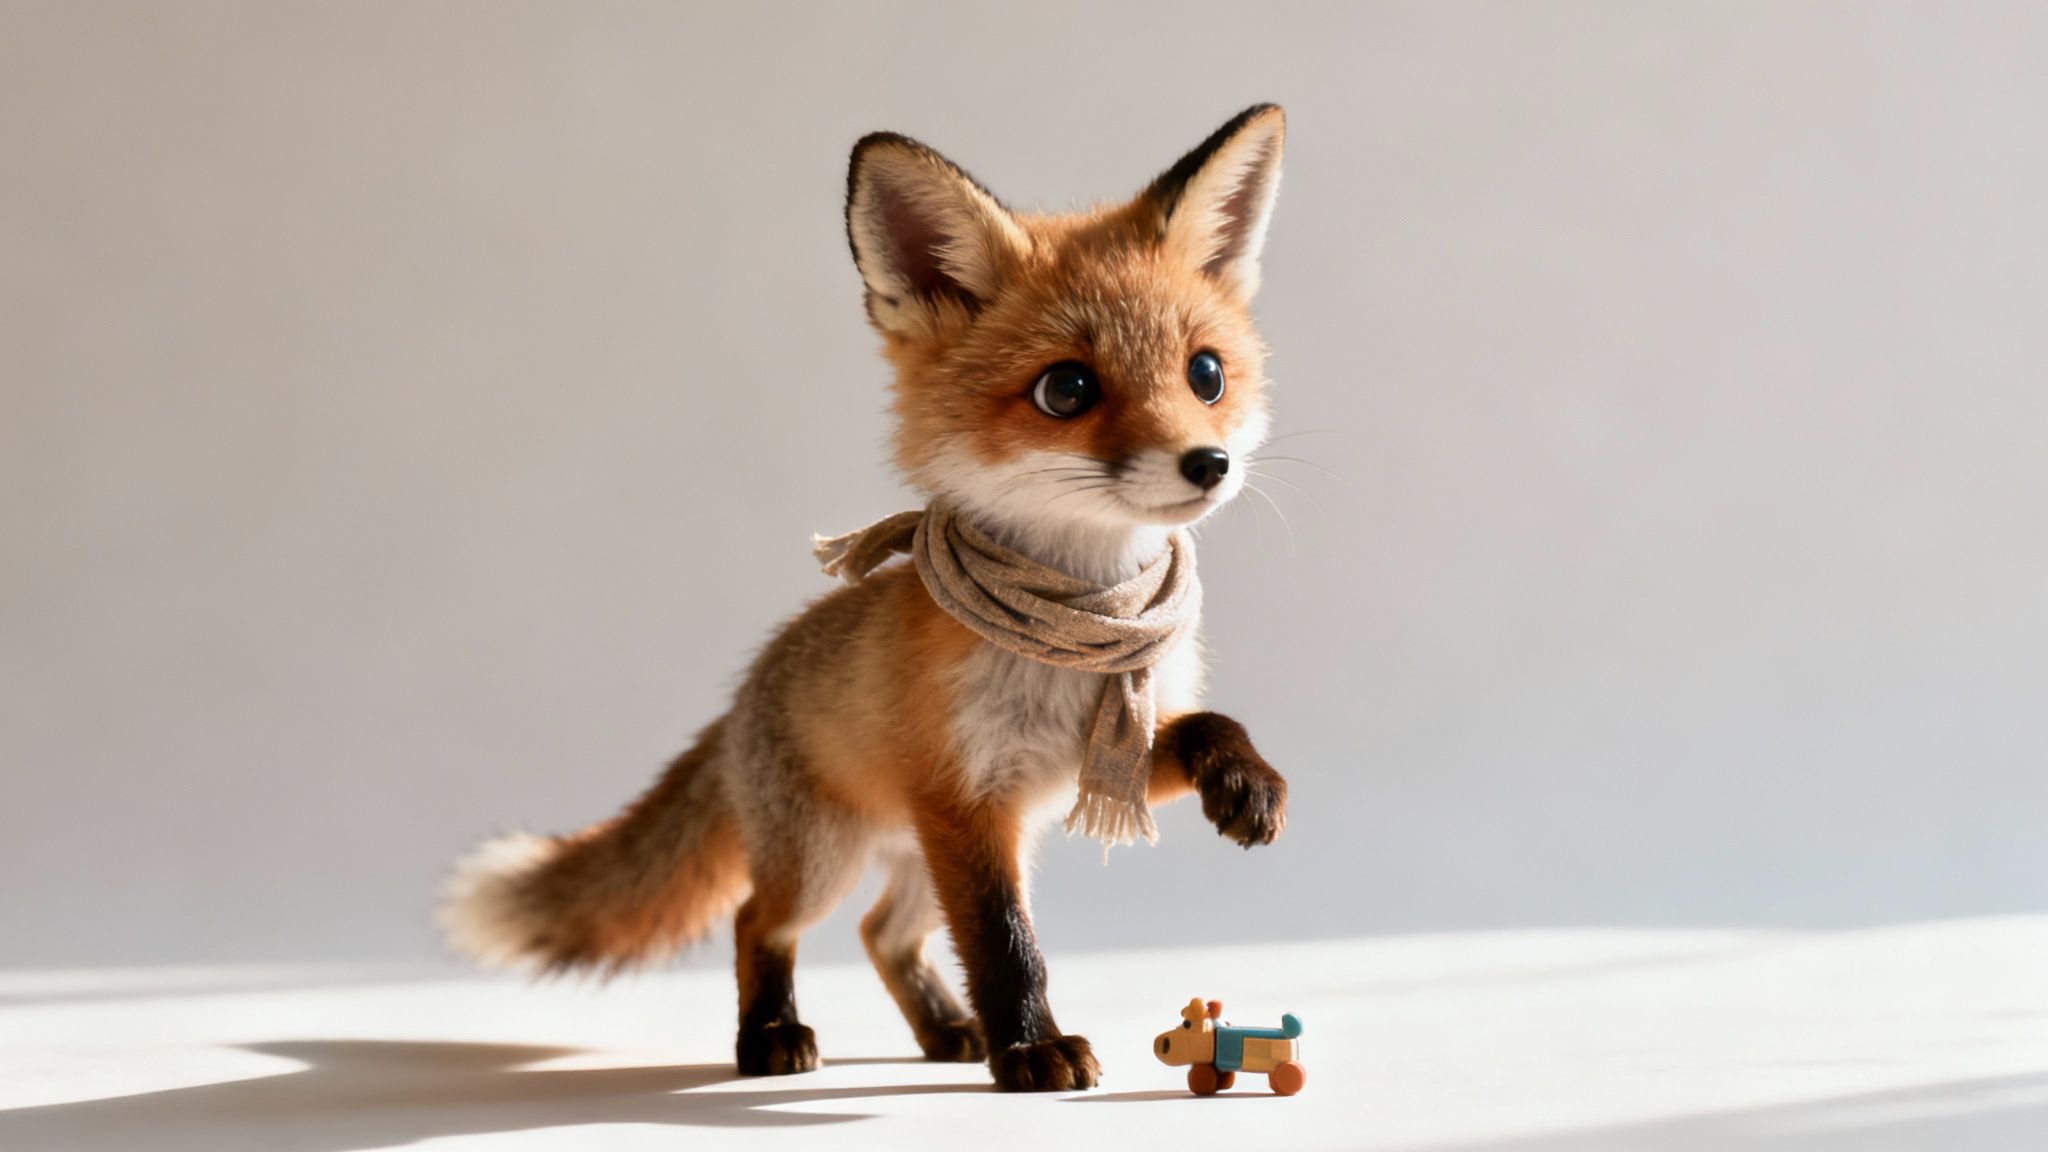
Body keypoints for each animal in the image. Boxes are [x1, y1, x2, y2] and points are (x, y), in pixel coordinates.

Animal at [442, 104, 1292, 1093]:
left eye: (1207, 374)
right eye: (1067, 388)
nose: (1209, 464)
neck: (1076, 631)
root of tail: (742, 695)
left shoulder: (1081, 766)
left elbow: (1203, 726)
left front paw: (1246, 782)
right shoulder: (967, 799)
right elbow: (1006, 944)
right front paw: (1032, 1050)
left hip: (926, 857)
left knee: (881, 935)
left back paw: (947, 1031)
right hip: (833, 857)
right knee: (760, 920)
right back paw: (772, 1037)